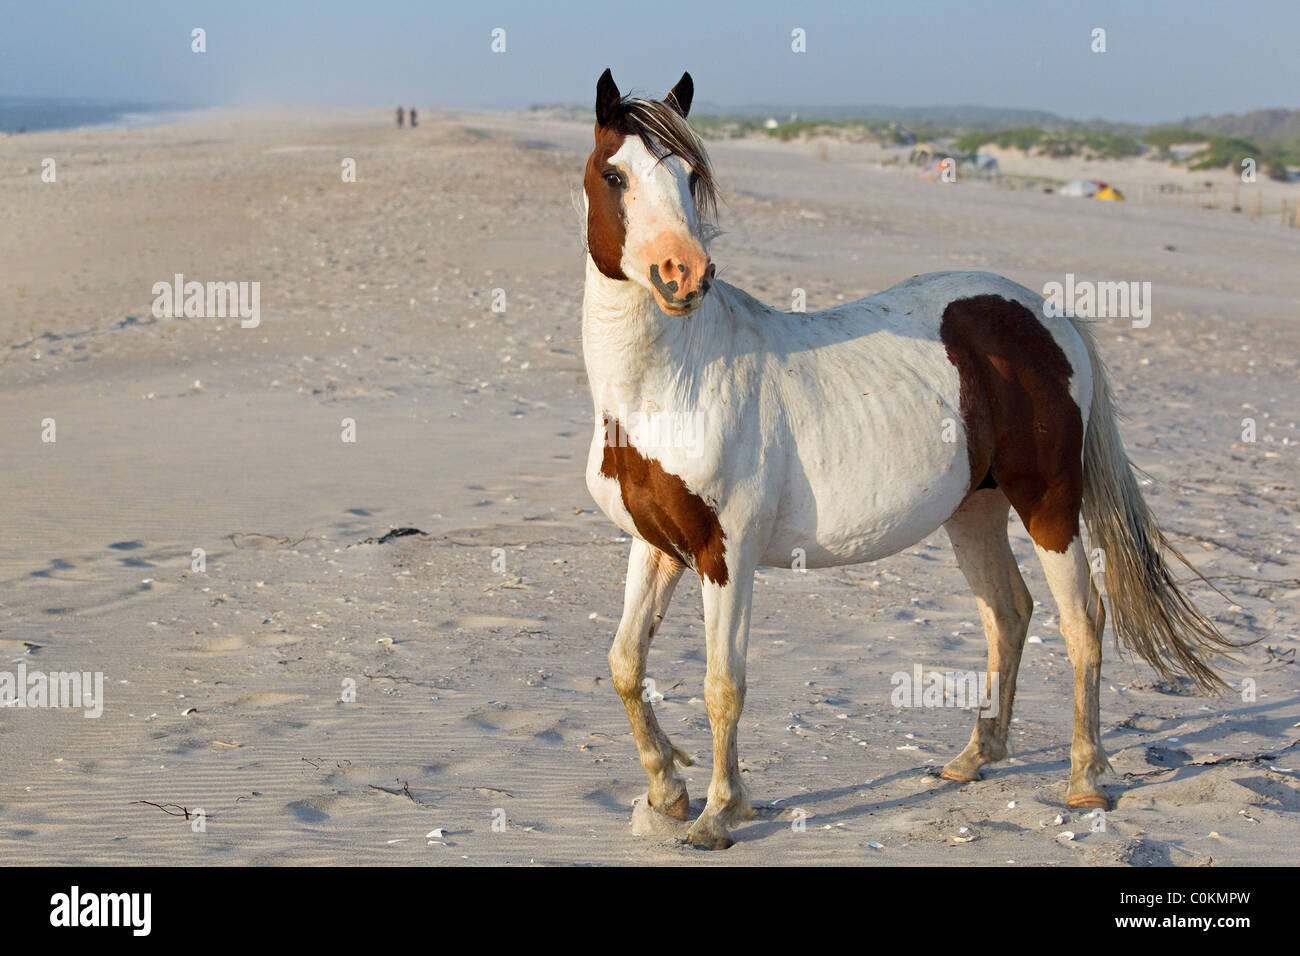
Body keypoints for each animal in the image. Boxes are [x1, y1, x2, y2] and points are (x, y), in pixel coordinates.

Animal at [579, 69, 1227, 853]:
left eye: (690, 175)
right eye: (615, 174)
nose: (684, 275)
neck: (673, 381)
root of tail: (1046, 314)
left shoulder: (724, 554)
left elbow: (722, 684)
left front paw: (717, 815)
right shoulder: (657, 546)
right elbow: (625, 664)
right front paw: (667, 790)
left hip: (1049, 506)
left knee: (1082, 621)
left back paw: (1085, 779)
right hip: (974, 509)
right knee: (1008, 613)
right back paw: (973, 758)